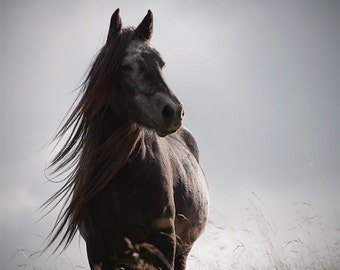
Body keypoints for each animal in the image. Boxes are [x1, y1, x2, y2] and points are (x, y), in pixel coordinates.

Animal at [44, 8, 210, 270]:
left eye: (161, 63)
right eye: (125, 66)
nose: (173, 112)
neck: (123, 182)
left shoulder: (163, 247)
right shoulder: (98, 253)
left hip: (181, 252)